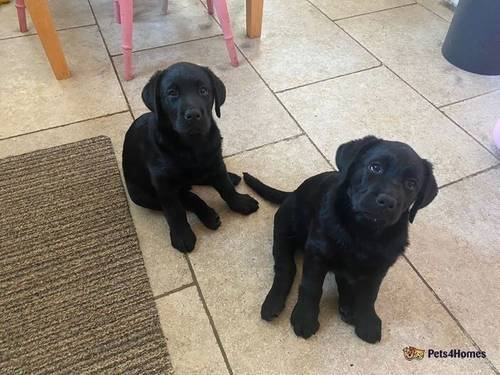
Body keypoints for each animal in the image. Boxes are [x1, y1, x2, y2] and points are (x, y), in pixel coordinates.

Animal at [123, 63, 260, 254]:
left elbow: (225, 187)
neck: (191, 144)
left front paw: (239, 202)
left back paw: (230, 179)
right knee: (187, 198)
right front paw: (182, 235)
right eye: (172, 93)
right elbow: (174, 211)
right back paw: (208, 215)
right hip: (141, 196)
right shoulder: (163, 183)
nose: (193, 115)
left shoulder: (216, 160)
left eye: (203, 91)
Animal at [244, 136, 436, 344]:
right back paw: (273, 303)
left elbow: (369, 295)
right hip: (283, 230)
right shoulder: (317, 254)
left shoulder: (380, 267)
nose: (387, 201)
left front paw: (367, 321)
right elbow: (311, 287)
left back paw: (348, 306)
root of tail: (293, 192)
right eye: (375, 167)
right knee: (286, 268)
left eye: (411, 184)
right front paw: (304, 317)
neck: (364, 231)